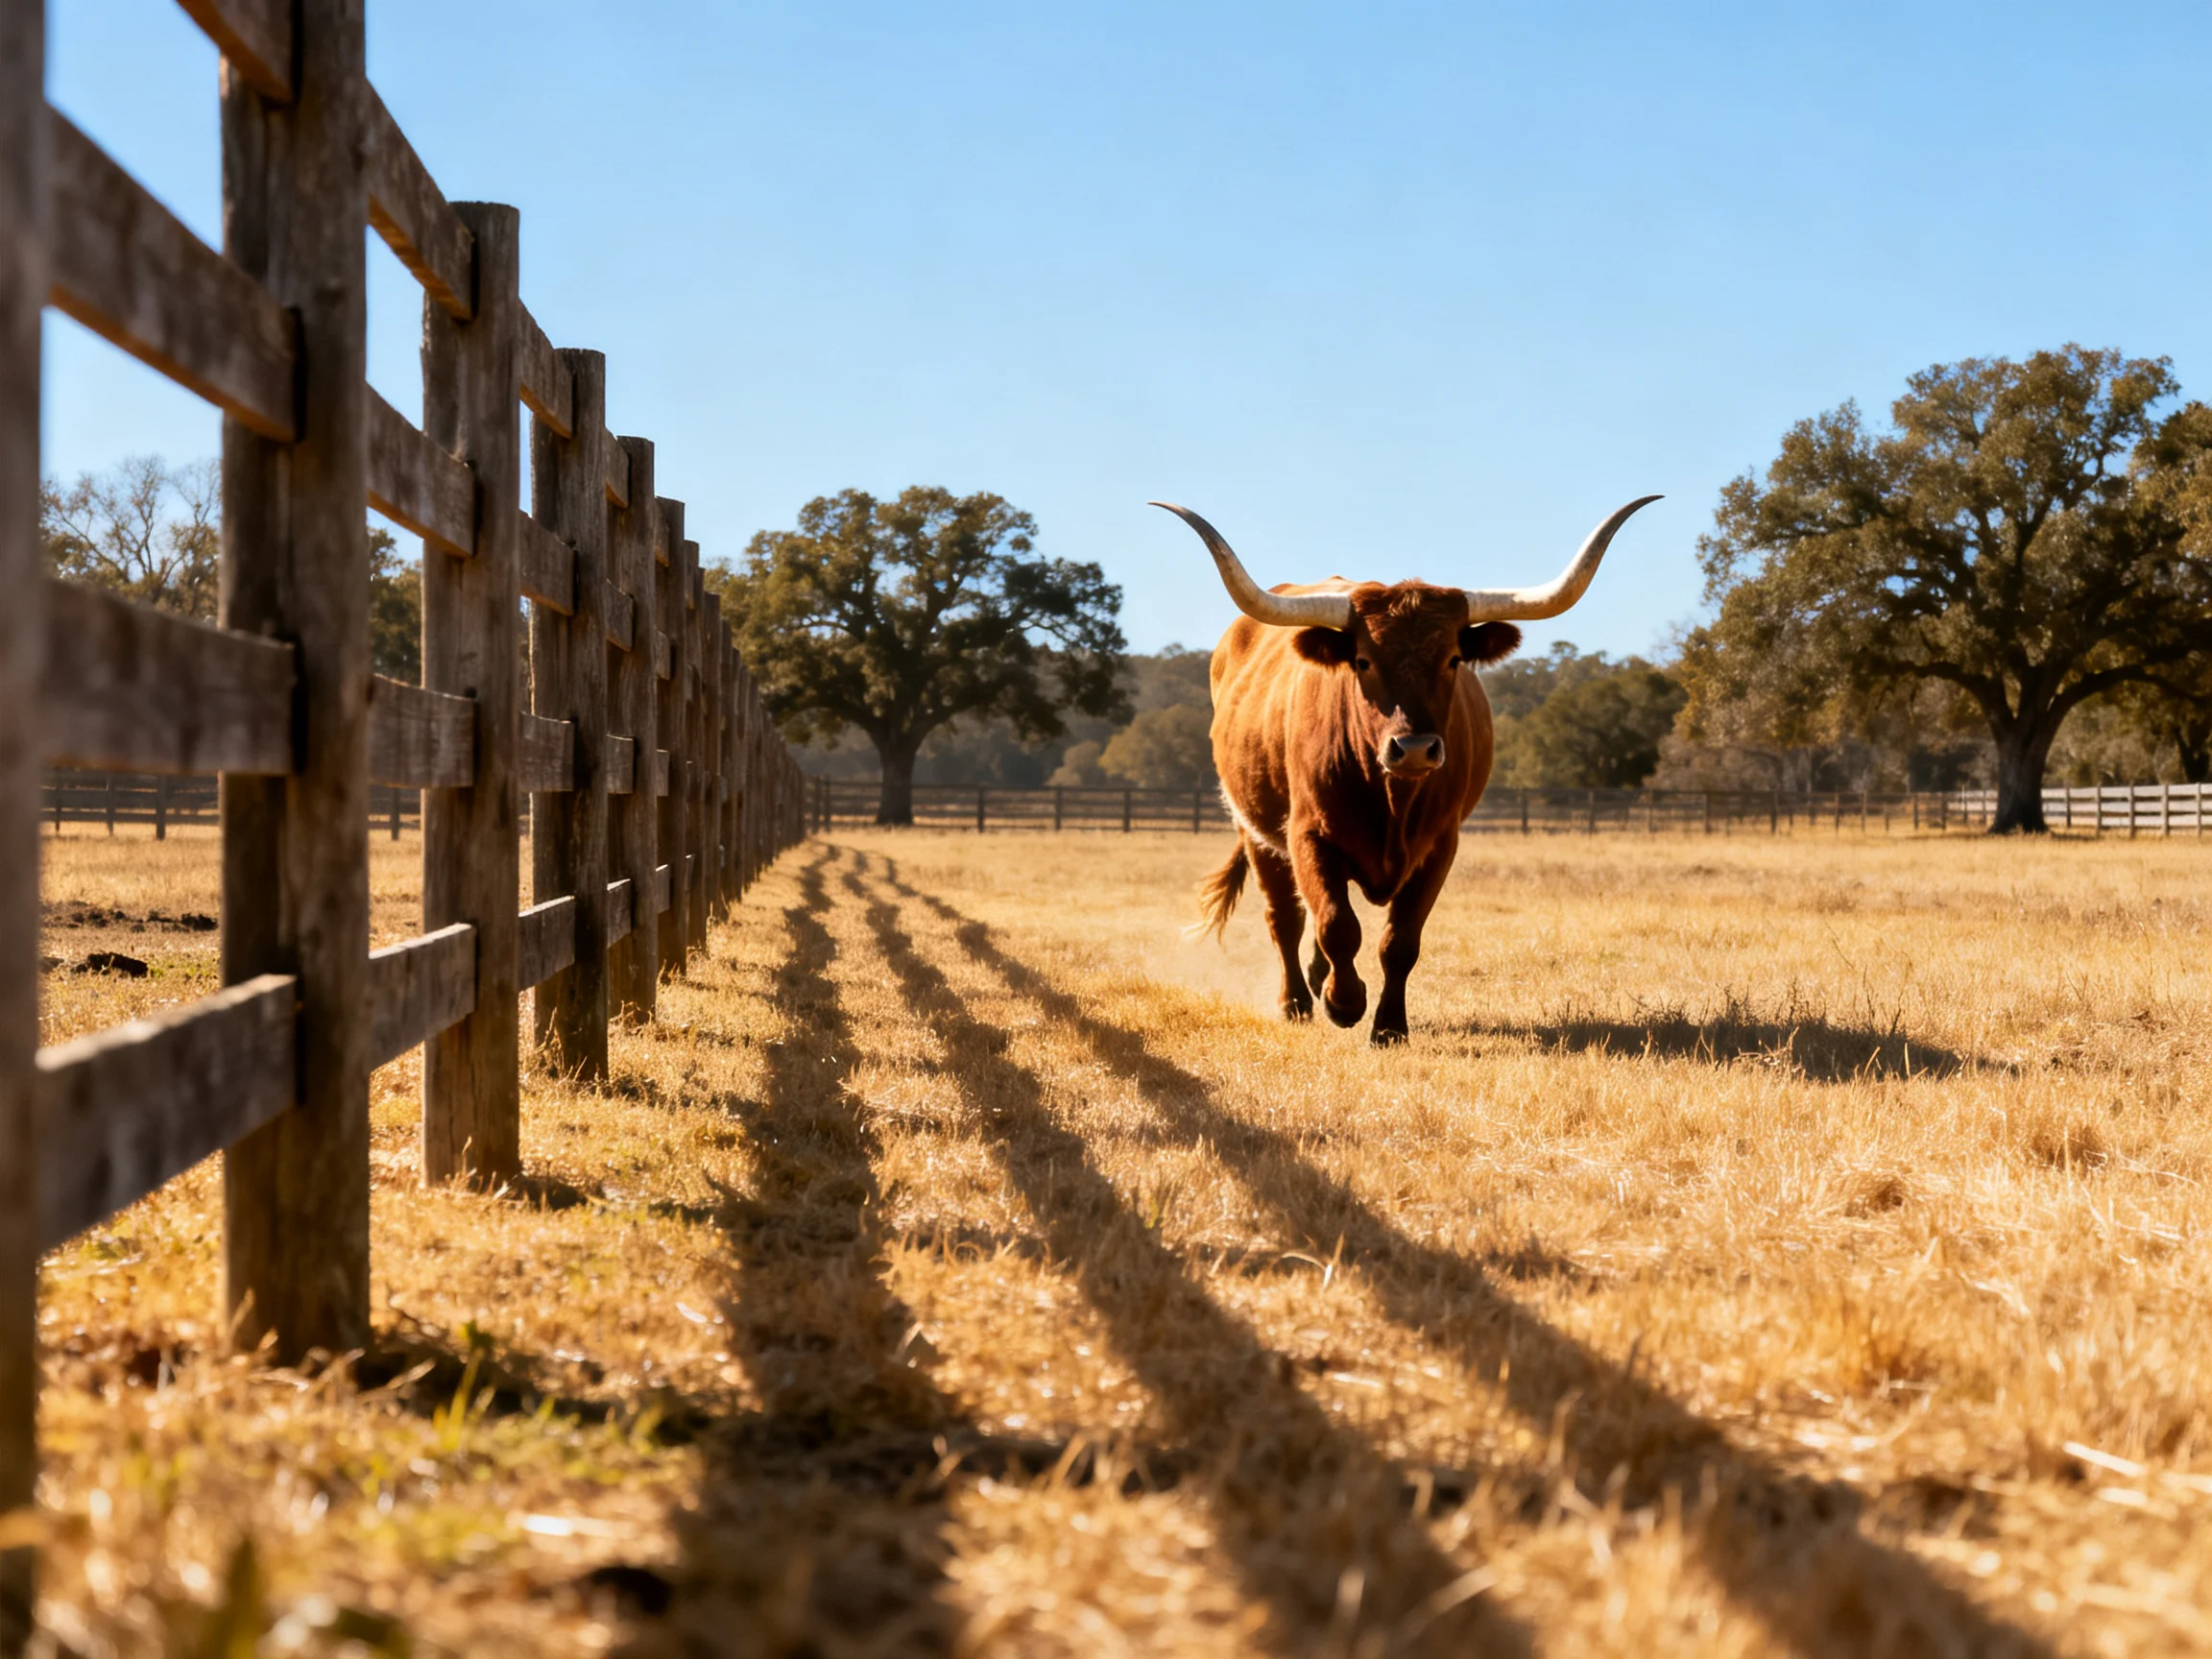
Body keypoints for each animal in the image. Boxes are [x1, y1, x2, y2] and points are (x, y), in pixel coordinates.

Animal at [1155, 496, 1659, 1044]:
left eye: (1454, 658)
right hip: (1254, 829)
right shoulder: (1307, 833)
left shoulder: (1439, 845)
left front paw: (1389, 1025)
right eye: (1362, 661)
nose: (1414, 749)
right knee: (1284, 917)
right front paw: (1344, 1002)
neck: (1391, 799)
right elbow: (1337, 926)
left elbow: (1400, 941)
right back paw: (1296, 1000)